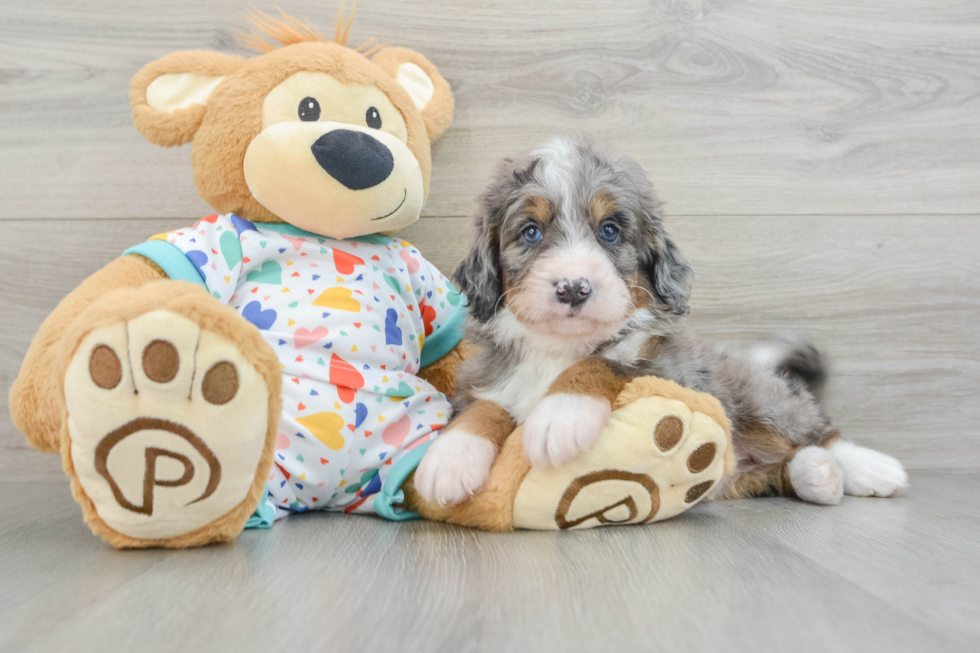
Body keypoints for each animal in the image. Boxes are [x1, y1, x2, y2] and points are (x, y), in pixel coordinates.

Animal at [410, 136, 908, 504]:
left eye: (610, 230)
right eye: (531, 232)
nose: (573, 288)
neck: (558, 349)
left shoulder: (671, 374)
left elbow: (606, 361)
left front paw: (560, 415)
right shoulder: (487, 378)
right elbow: (483, 408)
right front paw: (450, 457)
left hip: (757, 400)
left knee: (817, 432)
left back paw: (869, 468)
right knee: (779, 469)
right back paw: (817, 476)